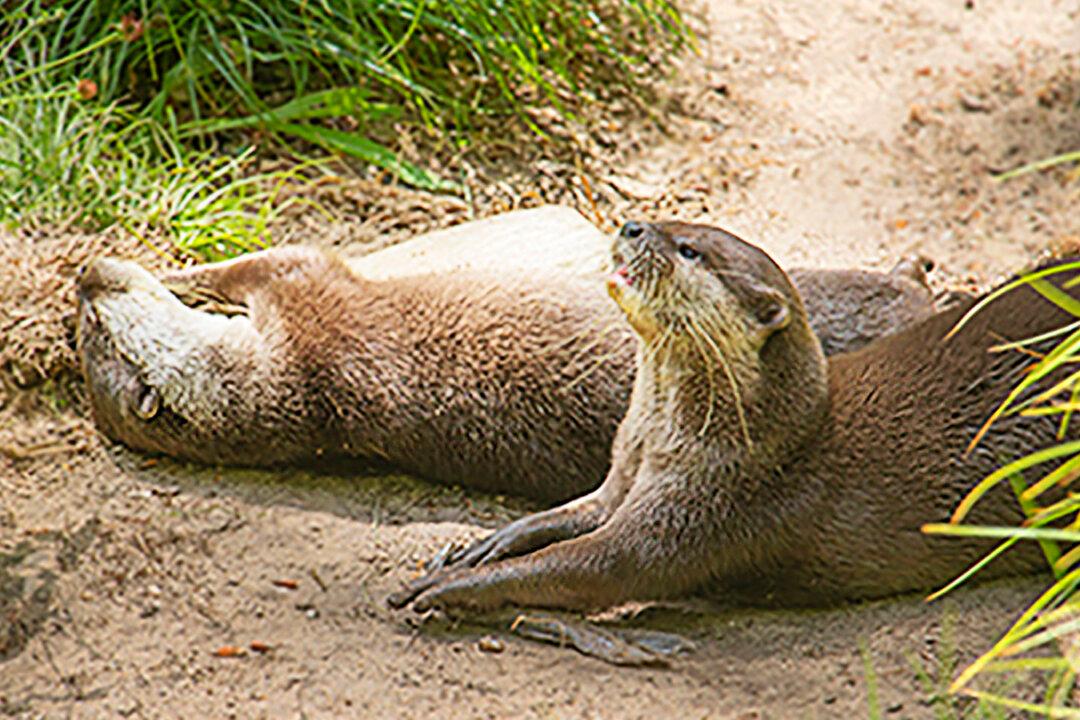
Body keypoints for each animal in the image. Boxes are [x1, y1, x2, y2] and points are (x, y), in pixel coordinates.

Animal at [77, 223, 934, 504]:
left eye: (84, 322)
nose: (84, 276)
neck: (297, 384)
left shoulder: (301, 294)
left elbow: (239, 267)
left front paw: (174, 269)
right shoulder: (307, 295)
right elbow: (269, 259)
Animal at [389, 221, 1068, 615]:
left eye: (689, 250)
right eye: (674, 221)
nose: (631, 223)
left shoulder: (710, 507)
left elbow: (602, 564)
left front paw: (450, 588)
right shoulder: (625, 472)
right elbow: (574, 513)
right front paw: (486, 545)